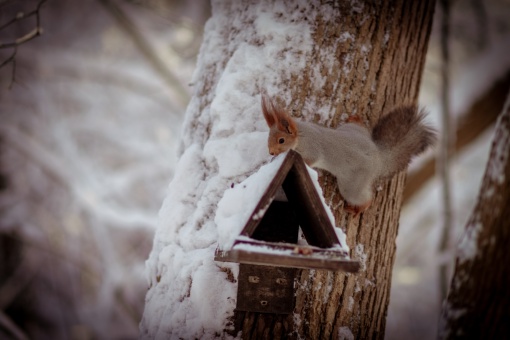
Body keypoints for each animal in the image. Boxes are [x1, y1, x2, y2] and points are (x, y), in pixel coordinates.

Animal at [262, 93, 434, 215]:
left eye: (281, 140)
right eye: (268, 138)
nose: (271, 152)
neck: (302, 136)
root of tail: (379, 157)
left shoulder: (312, 149)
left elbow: (312, 159)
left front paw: (302, 162)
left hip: (351, 186)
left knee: (363, 198)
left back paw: (359, 208)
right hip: (352, 131)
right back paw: (355, 119)